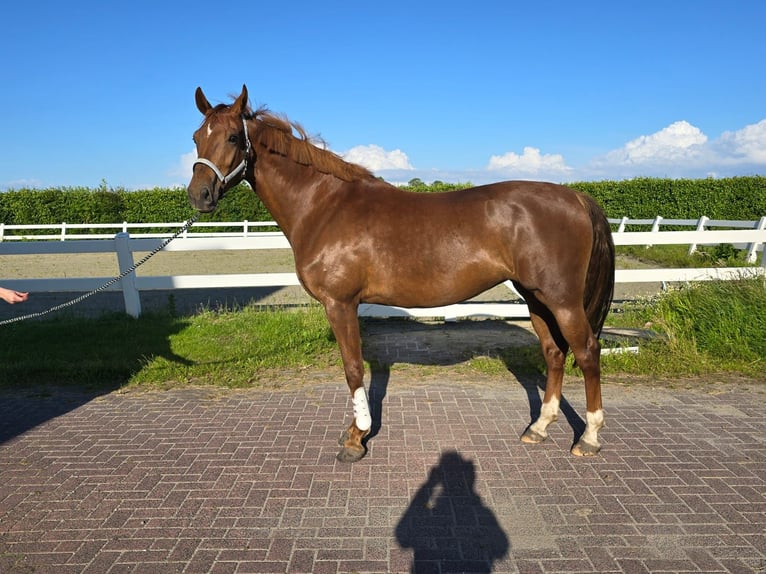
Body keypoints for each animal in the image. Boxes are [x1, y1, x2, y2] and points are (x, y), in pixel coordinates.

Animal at [188, 85, 616, 464]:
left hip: (562, 301)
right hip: (535, 299)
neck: (324, 205)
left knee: (587, 352)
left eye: (232, 136)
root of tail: (576, 196)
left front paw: (356, 438)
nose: (199, 196)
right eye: (196, 137)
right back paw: (539, 428)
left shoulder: (340, 304)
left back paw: (590, 438)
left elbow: (353, 368)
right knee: (554, 354)